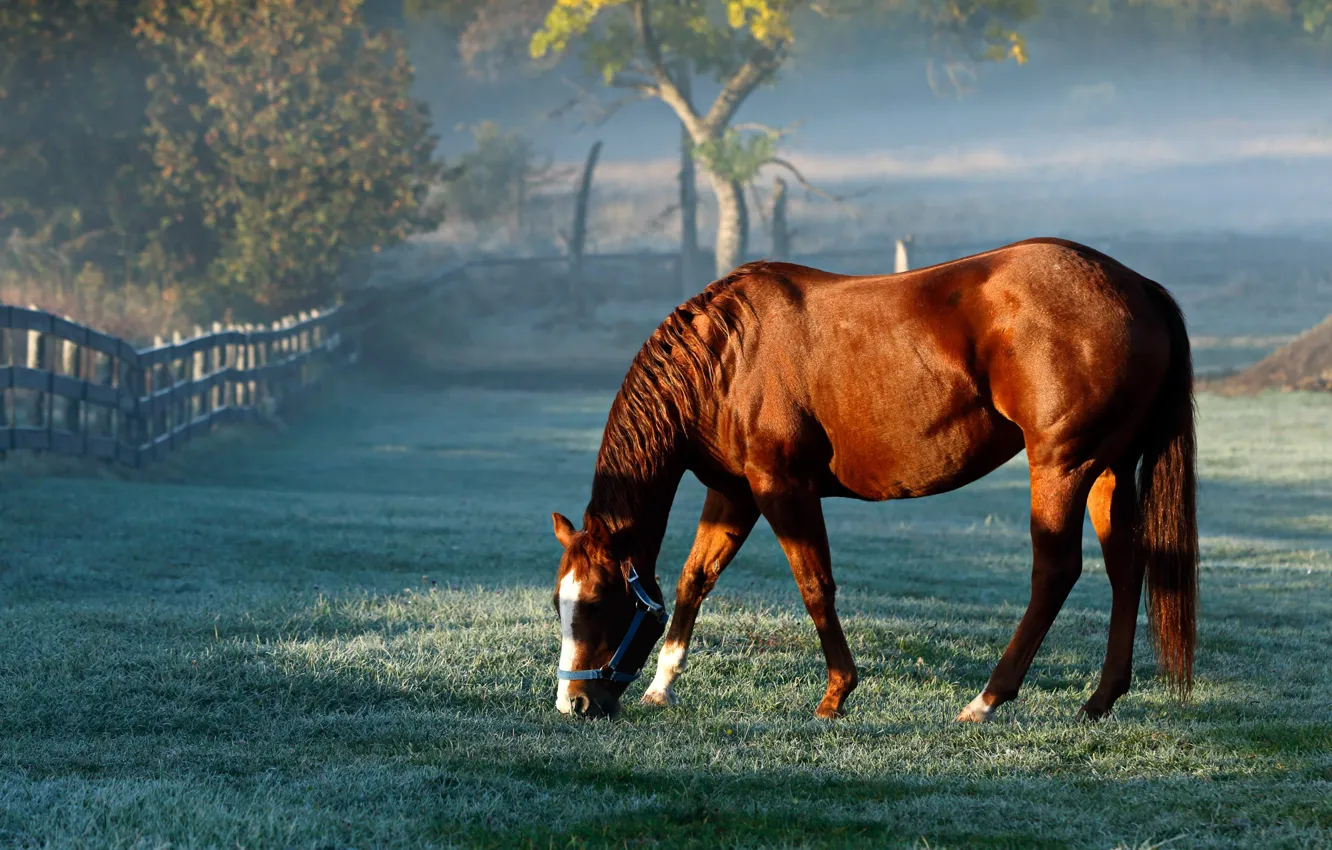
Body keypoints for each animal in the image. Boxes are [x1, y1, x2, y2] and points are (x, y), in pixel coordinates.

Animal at [550, 237, 1197, 722]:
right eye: (561, 602)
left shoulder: (781, 488)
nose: (574, 702)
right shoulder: (734, 492)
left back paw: (987, 699)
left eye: (600, 601)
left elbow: (815, 585)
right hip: (1109, 470)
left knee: (1055, 573)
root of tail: (1135, 285)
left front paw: (837, 693)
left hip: (1062, 467)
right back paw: (1100, 700)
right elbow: (695, 578)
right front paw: (662, 685)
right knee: (1126, 569)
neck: (728, 357)